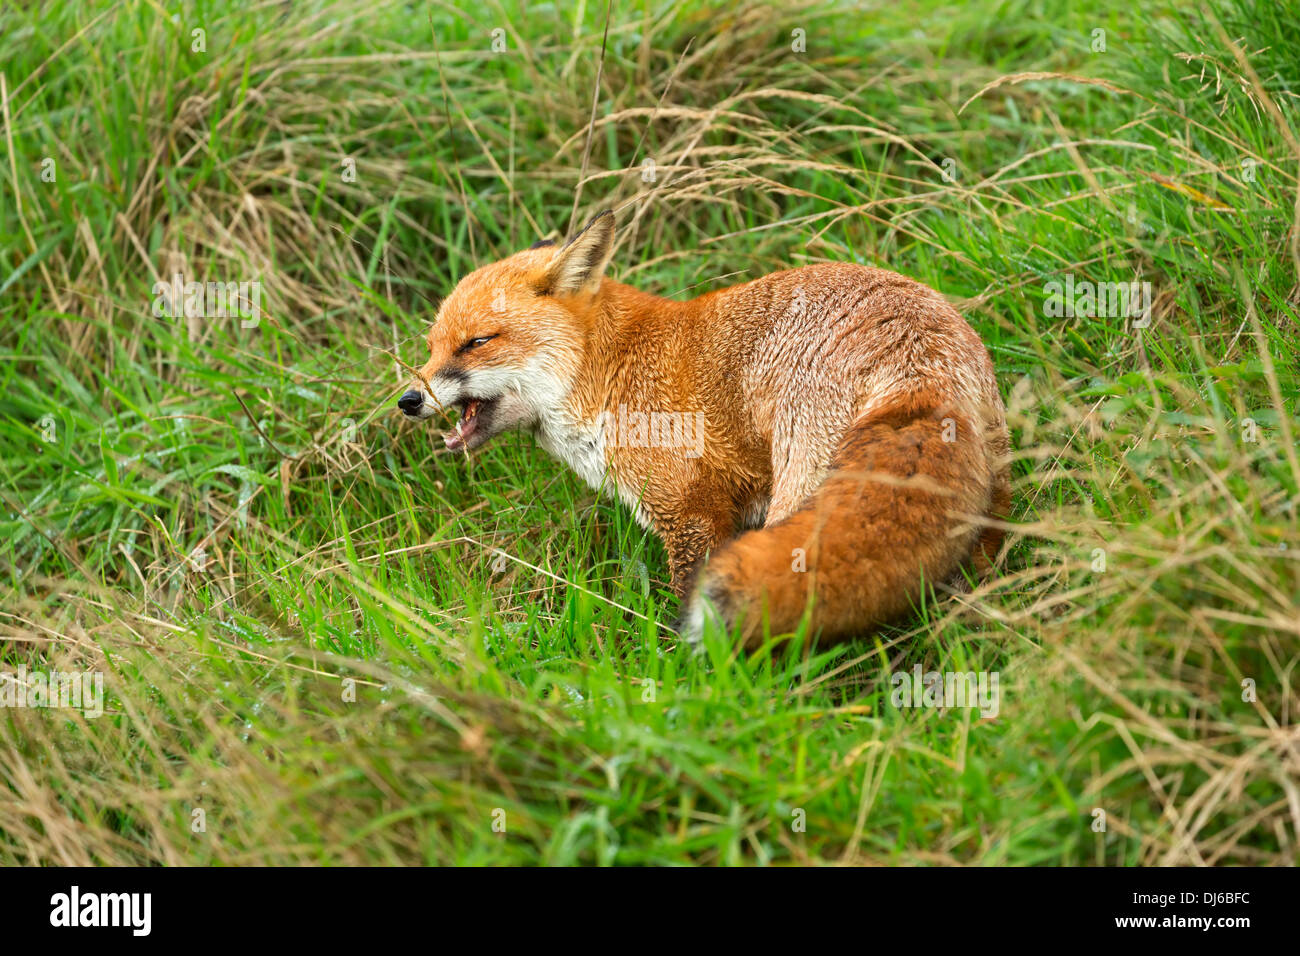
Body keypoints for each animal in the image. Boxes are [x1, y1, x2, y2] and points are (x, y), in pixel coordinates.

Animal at [400, 208, 1008, 642]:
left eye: (477, 342)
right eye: (430, 348)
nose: (408, 399)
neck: (611, 373)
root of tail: (915, 356)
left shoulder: (690, 510)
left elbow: (688, 594)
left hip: (796, 495)